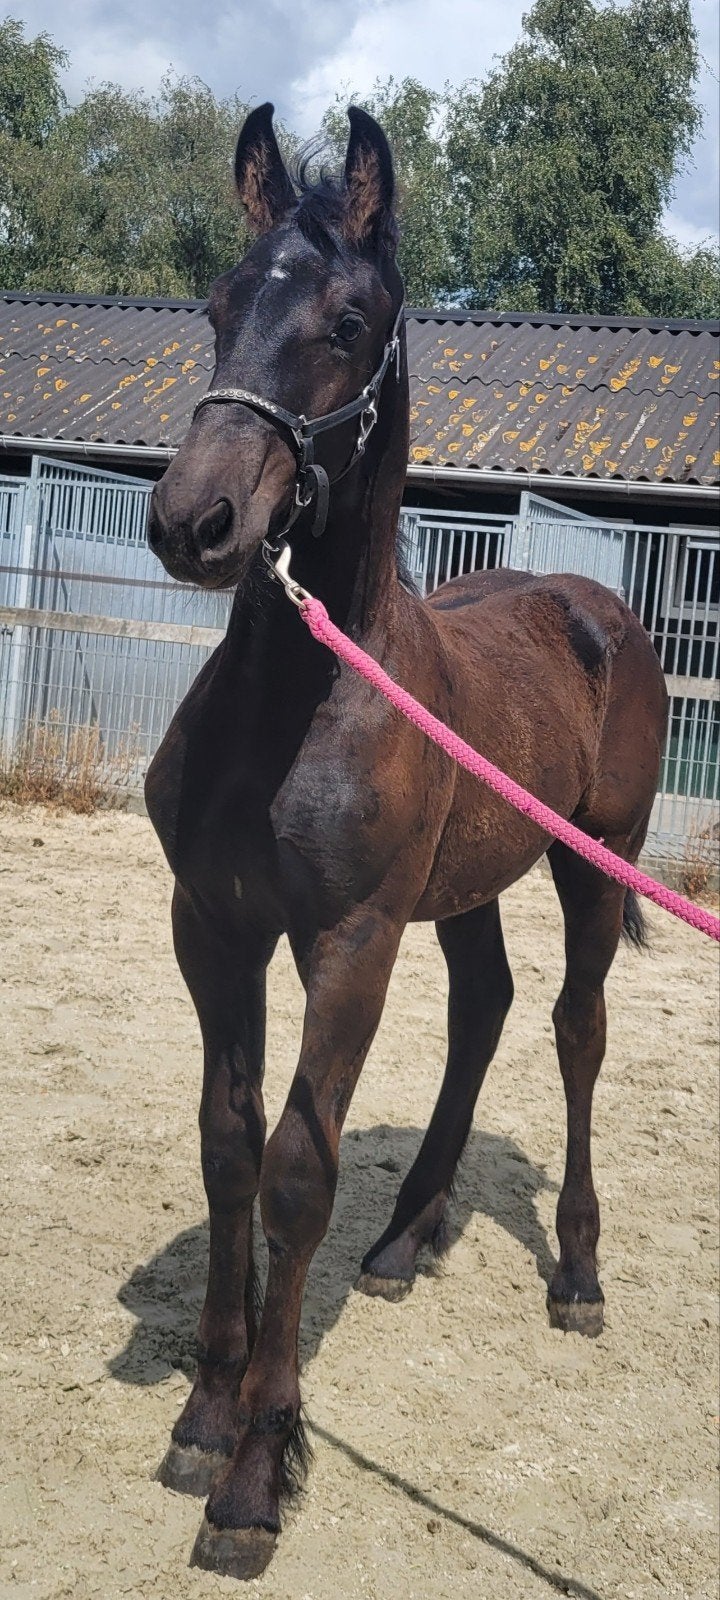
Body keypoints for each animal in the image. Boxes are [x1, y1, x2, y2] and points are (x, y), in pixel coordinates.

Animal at [145, 102, 668, 1579]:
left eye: (347, 320)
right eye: (217, 307)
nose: (195, 522)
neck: (298, 696)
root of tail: (597, 601)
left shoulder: (351, 940)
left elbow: (296, 1171)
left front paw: (256, 1477)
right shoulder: (212, 928)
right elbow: (226, 1141)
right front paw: (206, 1412)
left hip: (592, 859)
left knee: (573, 1029)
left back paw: (579, 1272)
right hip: (470, 882)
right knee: (485, 1004)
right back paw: (406, 1235)